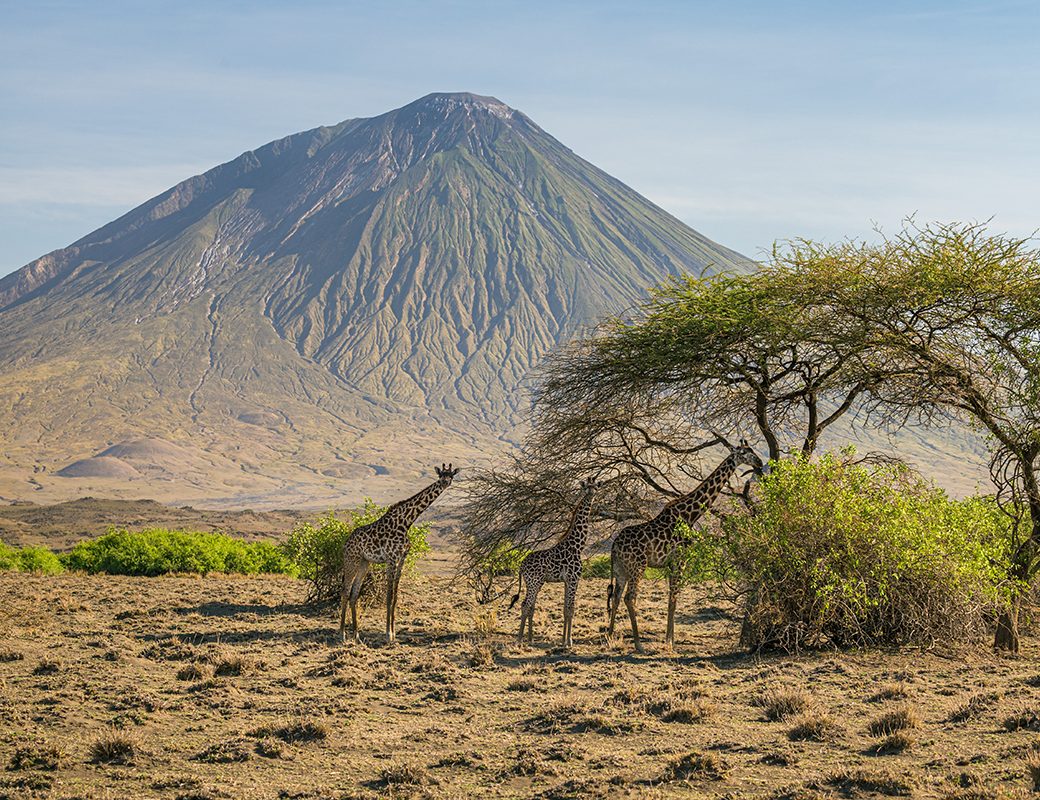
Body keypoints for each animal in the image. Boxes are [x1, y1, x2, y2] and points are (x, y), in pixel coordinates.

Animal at [339, 463, 459, 644]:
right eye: (440, 475)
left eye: (451, 475)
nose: (445, 482)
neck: (406, 521)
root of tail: (346, 543)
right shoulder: (391, 559)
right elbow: (388, 596)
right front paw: (388, 634)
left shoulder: (401, 559)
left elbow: (395, 596)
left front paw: (394, 633)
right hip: (351, 560)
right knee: (345, 592)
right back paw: (342, 634)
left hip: (364, 562)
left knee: (354, 593)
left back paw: (357, 634)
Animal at [509, 478, 598, 647]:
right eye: (586, 487)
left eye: (596, 486)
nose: (591, 493)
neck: (578, 546)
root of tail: (521, 566)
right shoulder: (574, 579)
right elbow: (570, 609)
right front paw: (569, 642)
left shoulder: (567, 581)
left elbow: (565, 609)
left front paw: (564, 640)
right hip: (533, 582)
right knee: (526, 605)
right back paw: (519, 640)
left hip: (536, 583)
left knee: (530, 606)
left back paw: (530, 638)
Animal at [607, 442, 763, 653]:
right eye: (745, 452)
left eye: (753, 451)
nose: (760, 462)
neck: (690, 514)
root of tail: (614, 546)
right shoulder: (680, 559)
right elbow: (673, 599)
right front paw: (670, 642)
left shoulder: (673, 563)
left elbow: (672, 599)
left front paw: (669, 640)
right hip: (637, 566)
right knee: (629, 598)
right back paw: (639, 644)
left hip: (621, 569)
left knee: (615, 598)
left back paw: (609, 636)